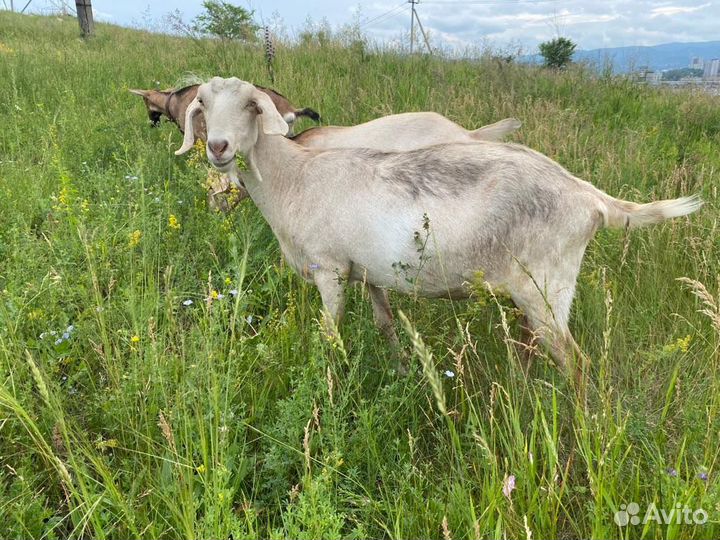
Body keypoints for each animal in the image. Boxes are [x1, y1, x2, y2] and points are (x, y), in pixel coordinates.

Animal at [176, 77, 702, 379]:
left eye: (252, 106)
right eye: (202, 104)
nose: (219, 147)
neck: (295, 177)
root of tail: (589, 197)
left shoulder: (330, 269)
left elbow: (330, 336)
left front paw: (330, 386)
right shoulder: (368, 271)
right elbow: (386, 323)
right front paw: (402, 369)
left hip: (549, 286)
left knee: (576, 363)